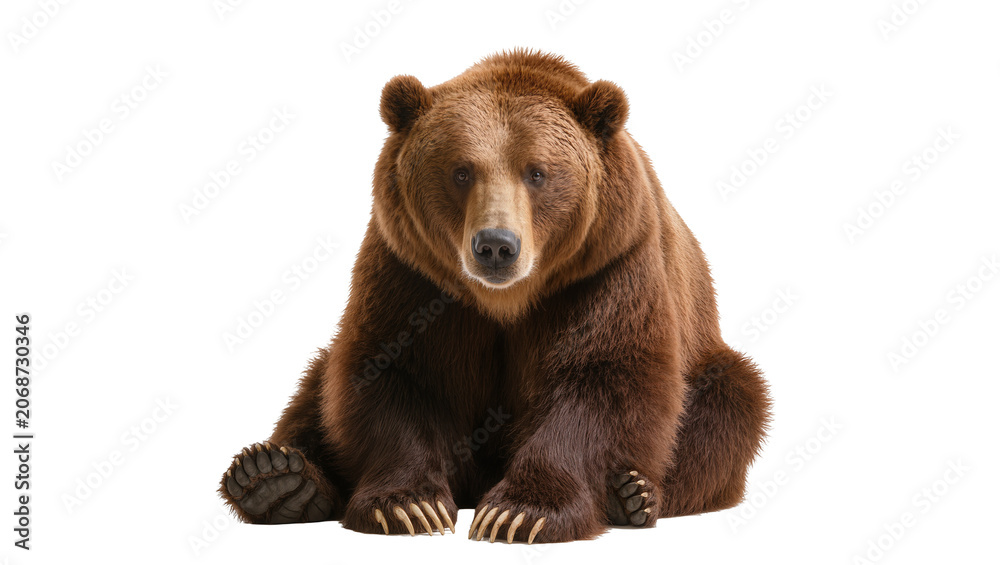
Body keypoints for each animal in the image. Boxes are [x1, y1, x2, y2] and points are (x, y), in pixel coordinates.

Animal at [219, 49, 771, 544]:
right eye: (461, 171)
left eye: (538, 171)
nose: (496, 246)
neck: (506, 302)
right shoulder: (411, 274)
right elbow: (390, 375)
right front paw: (408, 505)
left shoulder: (607, 268)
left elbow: (603, 378)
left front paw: (520, 514)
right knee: (312, 389)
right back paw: (273, 477)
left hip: (707, 361)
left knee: (730, 407)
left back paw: (632, 495)